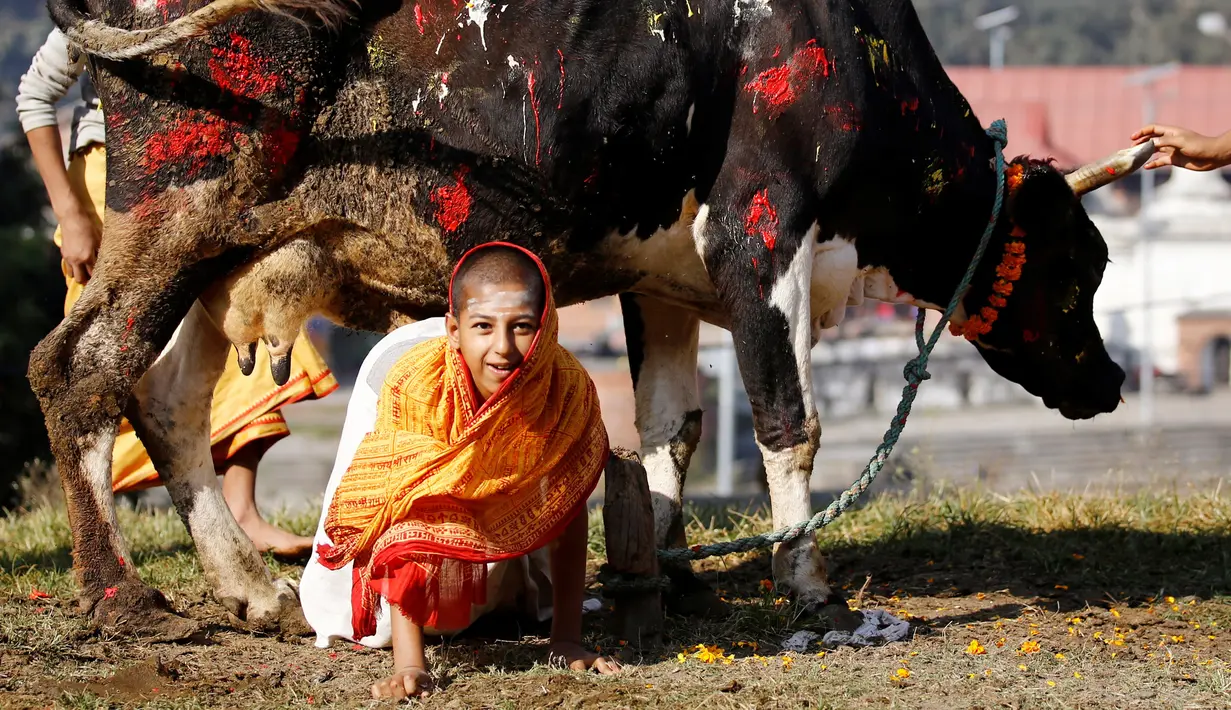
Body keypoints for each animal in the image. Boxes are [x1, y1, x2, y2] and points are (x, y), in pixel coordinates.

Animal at [33, 0, 1147, 634]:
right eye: (1082, 260)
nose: (1109, 380)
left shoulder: (662, 276)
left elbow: (670, 427)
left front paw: (669, 576)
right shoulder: (760, 234)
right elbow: (787, 423)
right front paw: (809, 583)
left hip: (228, 251)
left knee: (165, 397)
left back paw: (250, 589)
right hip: (175, 210)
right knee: (80, 366)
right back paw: (119, 597)